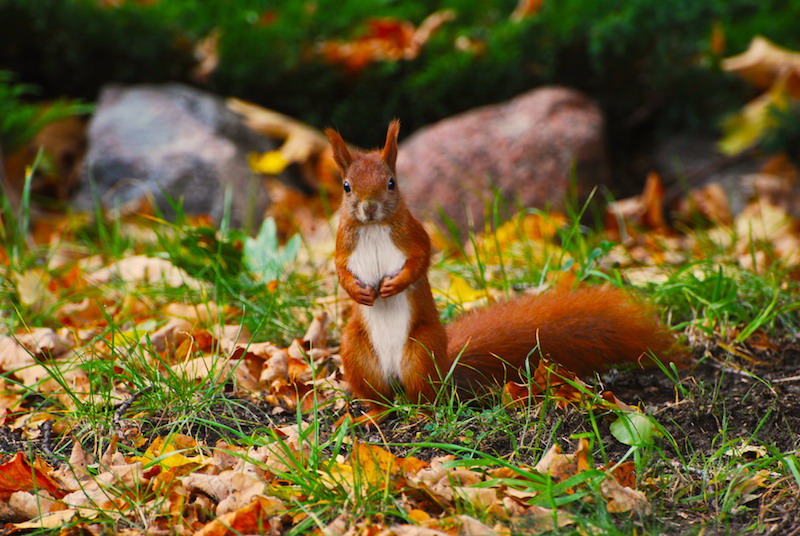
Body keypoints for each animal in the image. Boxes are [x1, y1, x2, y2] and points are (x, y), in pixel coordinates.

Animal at [324, 122, 680, 414]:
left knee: (424, 397)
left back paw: (420, 412)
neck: (374, 227)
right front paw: (357, 291)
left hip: (421, 353)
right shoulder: (343, 246)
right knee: (378, 398)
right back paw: (372, 415)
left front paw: (395, 284)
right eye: (346, 186)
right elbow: (340, 271)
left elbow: (421, 259)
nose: (369, 208)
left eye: (391, 183)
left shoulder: (415, 234)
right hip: (357, 353)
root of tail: (443, 366)